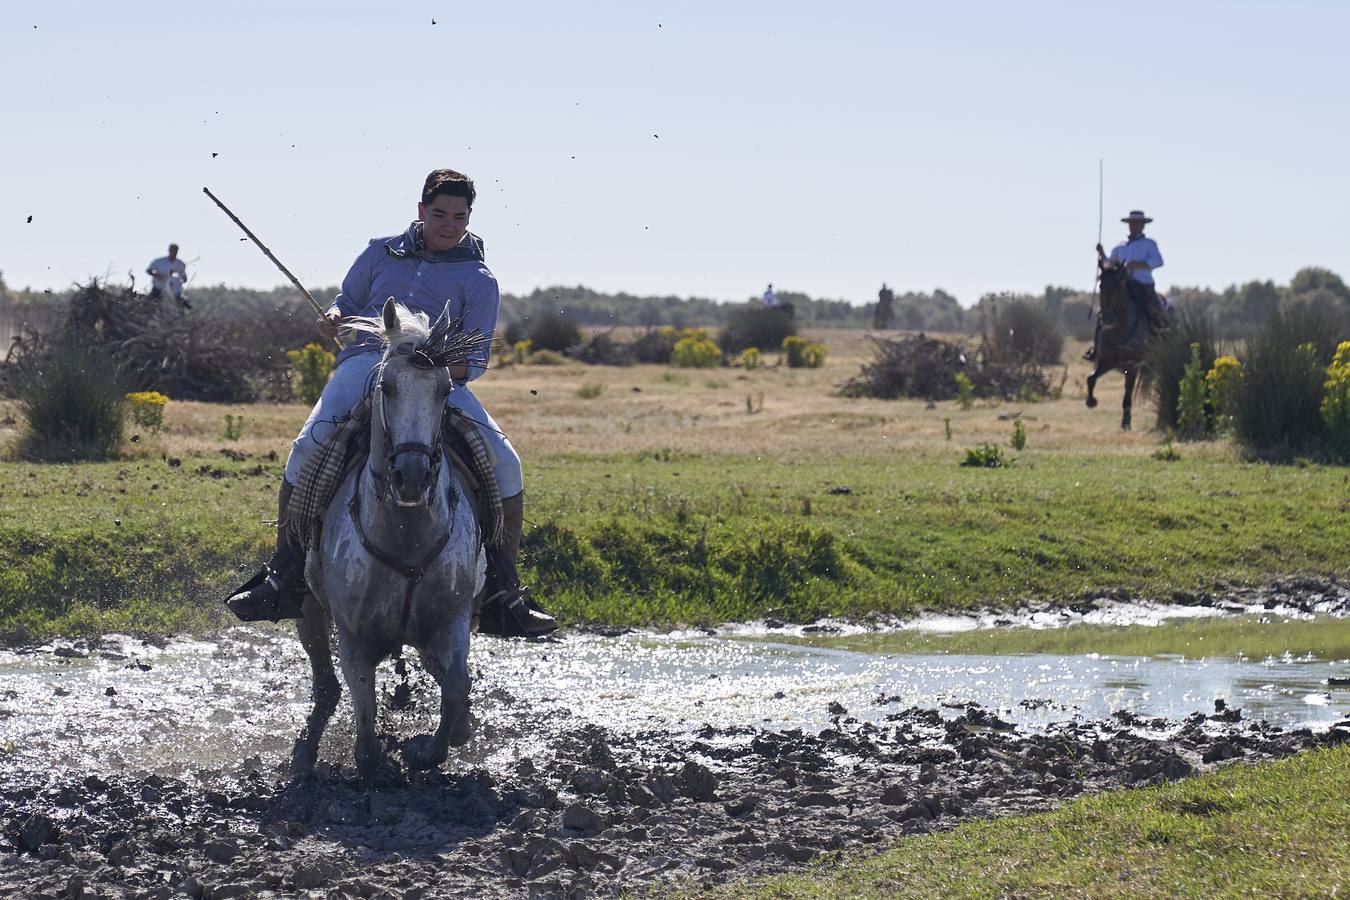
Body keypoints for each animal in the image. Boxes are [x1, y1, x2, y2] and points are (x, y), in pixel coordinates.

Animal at [290, 299, 491, 782]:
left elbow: (456, 685)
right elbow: (363, 711)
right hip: (307, 606)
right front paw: (377, 759)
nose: (411, 477)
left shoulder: (452, 620)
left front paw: (427, 748)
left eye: (445, 390)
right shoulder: (354, 636)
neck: (406, 535)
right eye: (388, 387)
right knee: (325, 683)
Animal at [1080, 261, 1166, 431]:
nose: (1107, 318)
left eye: (1118, 285)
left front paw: (1126, 423)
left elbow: (1127, 394)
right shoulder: (1106, 362)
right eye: (1101, 285)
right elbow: (1091, 378)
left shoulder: (1132, 366)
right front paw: (1091, 401)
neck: (1118, 333)